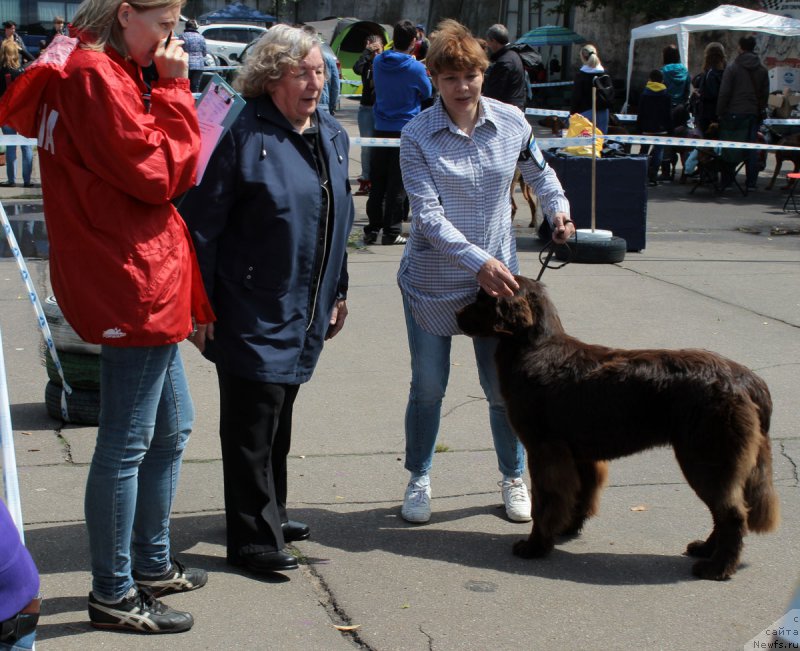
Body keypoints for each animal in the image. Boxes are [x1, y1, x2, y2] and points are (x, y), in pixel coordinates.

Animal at [460, 276, 780, 580]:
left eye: (482, 299)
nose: (457, 314)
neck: (533, 349)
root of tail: (747, 379)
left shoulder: (544, 450)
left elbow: (548, 501)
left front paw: (536, 546)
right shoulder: (579, 453)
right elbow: (582, 492)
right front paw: (568, 528)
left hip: (707, 456)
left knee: (733, 514)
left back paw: (717, 567)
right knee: (724, 511)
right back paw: (705, 550)